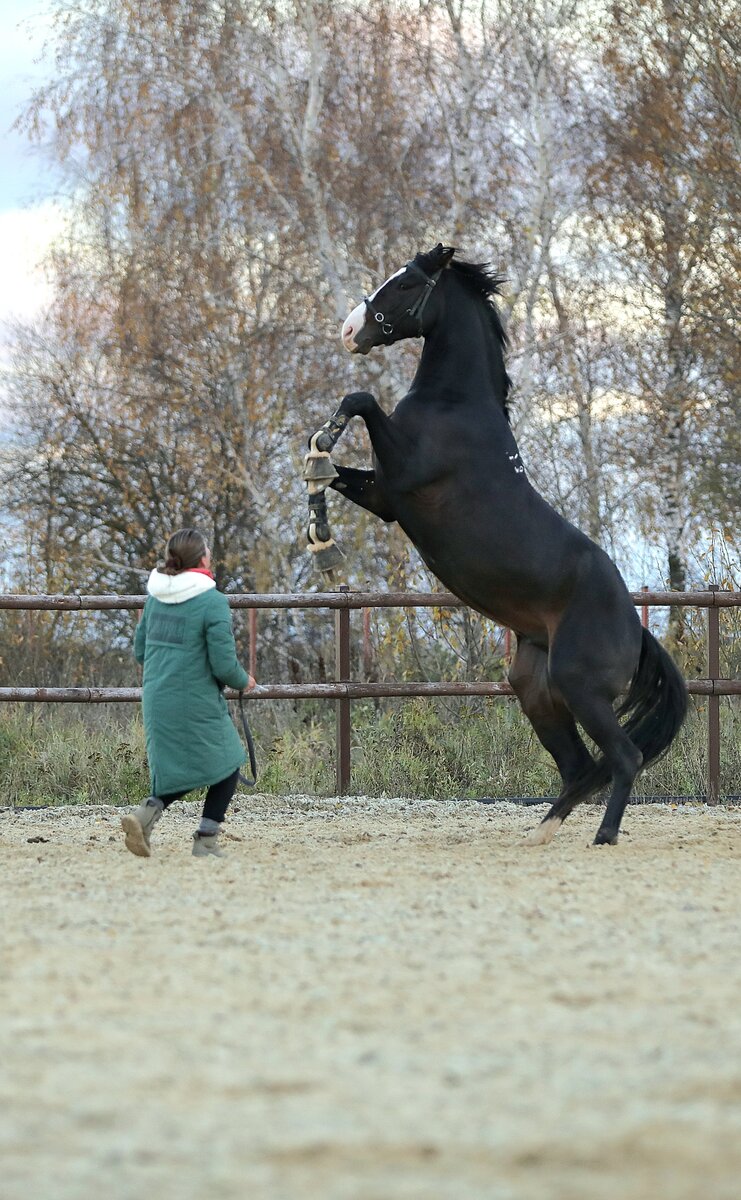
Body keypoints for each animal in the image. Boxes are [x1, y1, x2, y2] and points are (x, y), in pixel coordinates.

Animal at [303, 243, 685, 844]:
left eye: (406, 284)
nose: (349, 330)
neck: (455, 405)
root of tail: (637, 630)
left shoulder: (403, 473)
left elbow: (359, 399)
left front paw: (323, 457)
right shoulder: (386, 497)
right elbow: (330, 471)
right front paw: (319, 527)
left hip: (580, 688)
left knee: (623, 757)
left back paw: (602, 837)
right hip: (535, 687)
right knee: (579, 767)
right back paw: (542, 832)